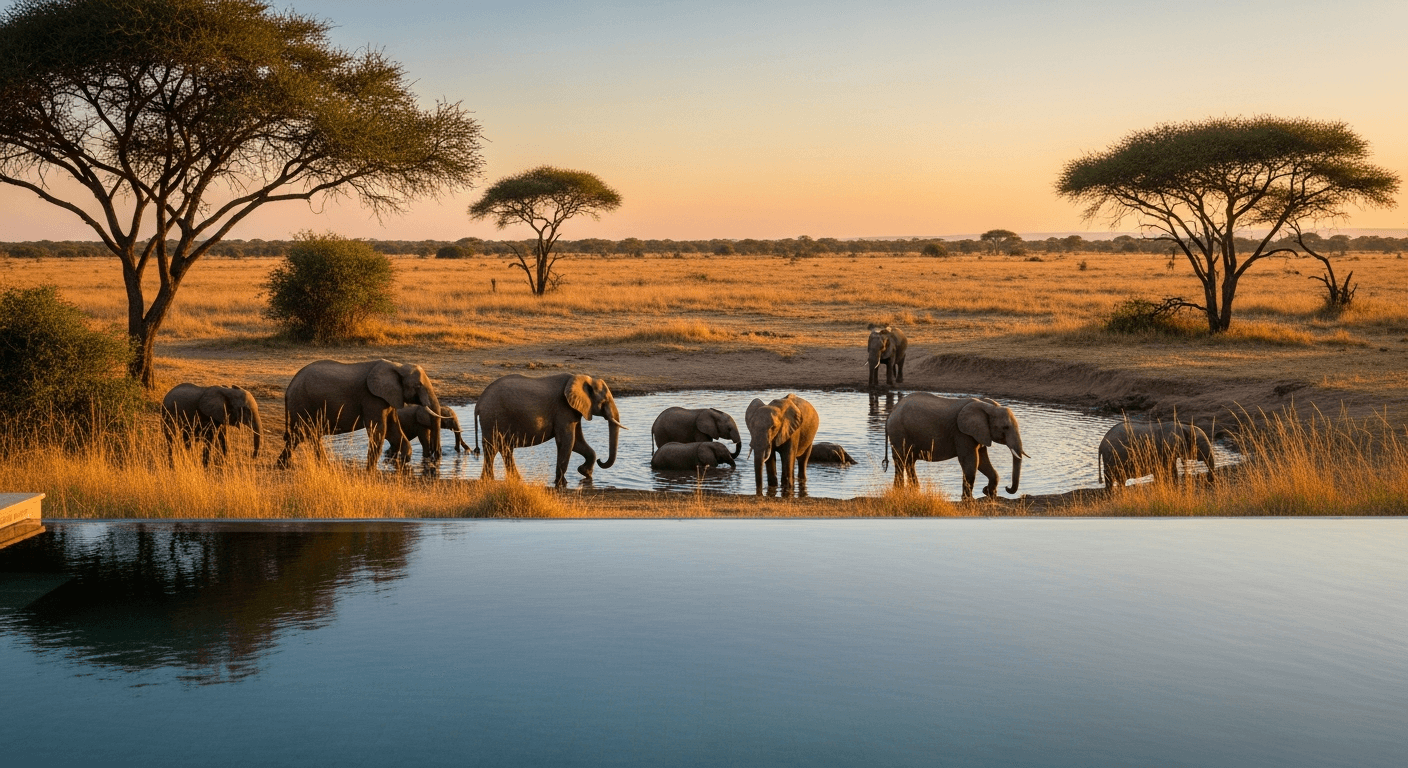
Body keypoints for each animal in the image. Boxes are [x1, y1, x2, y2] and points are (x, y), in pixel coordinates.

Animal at [278, 359, 450, 470]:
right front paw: (371, 471)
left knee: (302, 435)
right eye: (418, 386)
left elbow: (392, 429)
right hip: (302, 403)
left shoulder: (387, 398)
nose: (436, 458)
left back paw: (284, 466)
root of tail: (289, 388)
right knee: (304, 433)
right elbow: (379, 430)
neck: (397, 366)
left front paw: (403, 463)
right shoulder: (371, 398)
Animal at [474, 373, 625, 487]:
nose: (601, 460)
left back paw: (502, 479)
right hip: (493, 417)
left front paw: (584, 473)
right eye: (604, 401)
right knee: (494, 448)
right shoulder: (564, 409)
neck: (580, 378)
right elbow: (567, 442)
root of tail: (479, 403)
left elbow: (576, 443)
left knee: (501, 448)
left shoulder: (574, 410)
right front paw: (562, 483)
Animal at [884, 393, 1028, 498]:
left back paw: (914, 491)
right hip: (898, 432)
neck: (987, 406)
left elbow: (982, 461)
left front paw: (990, 494)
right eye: (1005, 427)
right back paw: (898, 492)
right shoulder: (962, 433)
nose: (1007, 488)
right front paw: (968, 500)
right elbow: (971, 462)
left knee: (909, 461)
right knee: (901, 460)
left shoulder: (978, 433)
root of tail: (893, 410)